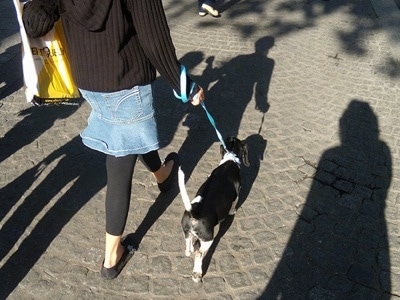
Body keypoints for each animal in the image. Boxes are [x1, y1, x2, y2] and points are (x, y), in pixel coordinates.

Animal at [179, 136, 250, 282]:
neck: (230, 160)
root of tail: (194, 213)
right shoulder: (237, 194)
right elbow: (234, 203)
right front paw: (233, 211)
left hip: (187, 232)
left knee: (188, 244)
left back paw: (189, 252)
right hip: (208, 239)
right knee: (199, 254)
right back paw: (197, 274)